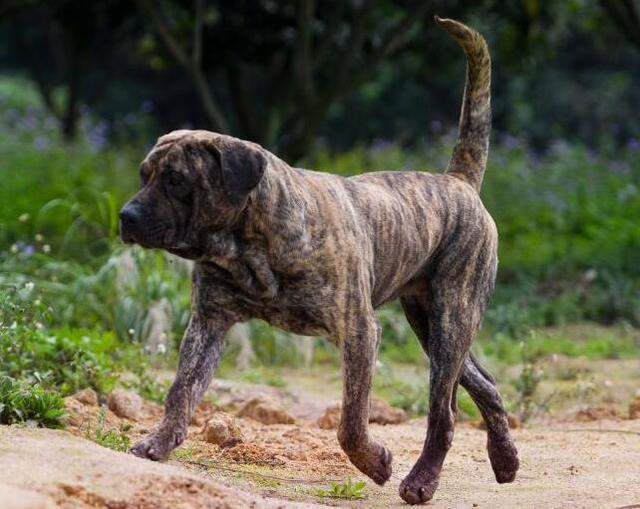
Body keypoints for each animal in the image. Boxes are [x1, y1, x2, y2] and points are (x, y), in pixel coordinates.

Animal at [121, 16, 520, 504]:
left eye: (176, 180)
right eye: (144, 175)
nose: (126, 217)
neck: (248, 246)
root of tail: (458, 181)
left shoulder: (359, 330)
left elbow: (350, 421)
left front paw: (375, 462)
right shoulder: (208, 322)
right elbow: (181, 389)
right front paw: (159, 442)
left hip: (451, 318)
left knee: (442, 411)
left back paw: (421, 480)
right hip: (431, 323)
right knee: (485, 384)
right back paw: (505, 459)